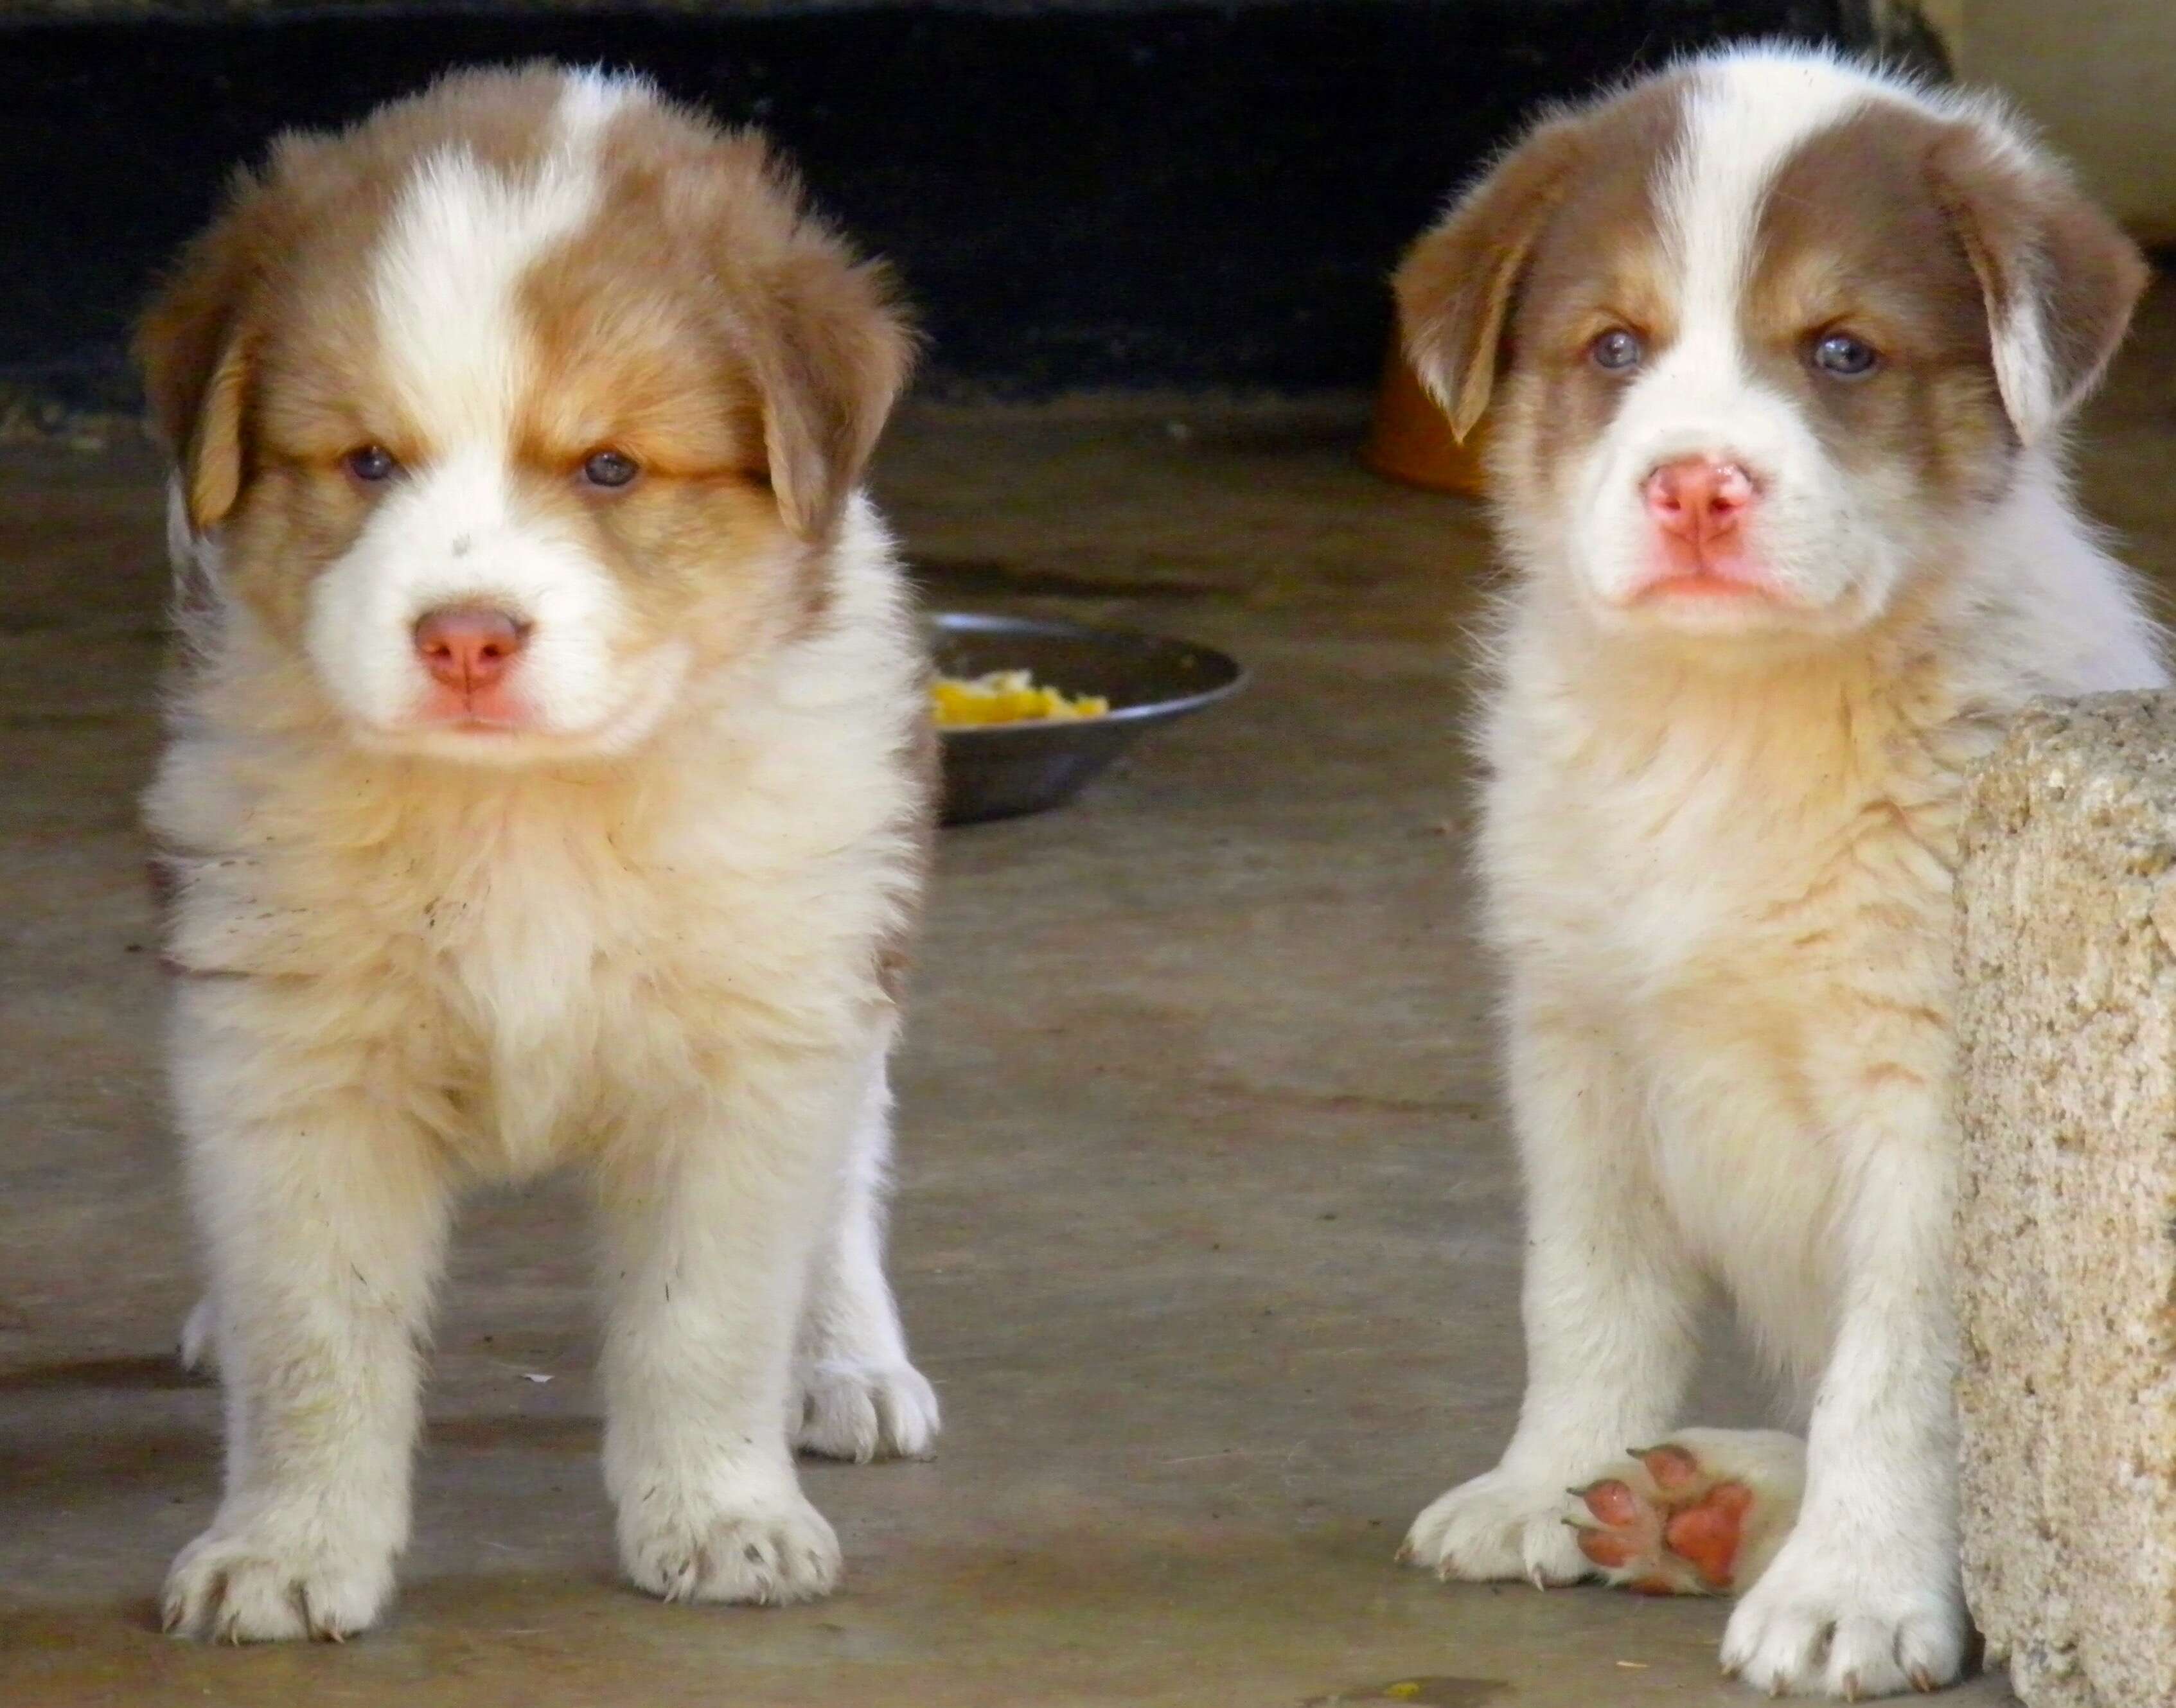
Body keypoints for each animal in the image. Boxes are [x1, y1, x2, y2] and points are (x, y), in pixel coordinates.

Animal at [140, 63, 940, 1636]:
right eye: (366, 459)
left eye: (611, 466)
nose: (465, 638)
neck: (525, 807)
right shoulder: (291, 1039)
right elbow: (313, 1330)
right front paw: (285, 1548)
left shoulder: (754, 1035)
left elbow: (709, 1315)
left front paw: (724, 1515)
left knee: (848, 1173)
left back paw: (851, 1361)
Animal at [1392, 46, 2158, 1697]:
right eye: (1614, 345)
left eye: (1840, 352)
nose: (1694, 486)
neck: (1725, 719)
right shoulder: (1577, 1041)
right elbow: (1582, 1292)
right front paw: (1540, 1477)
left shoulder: (1927, 1098)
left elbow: (1897, 1376)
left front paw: (1851, 1591)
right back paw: (1694, 1500)